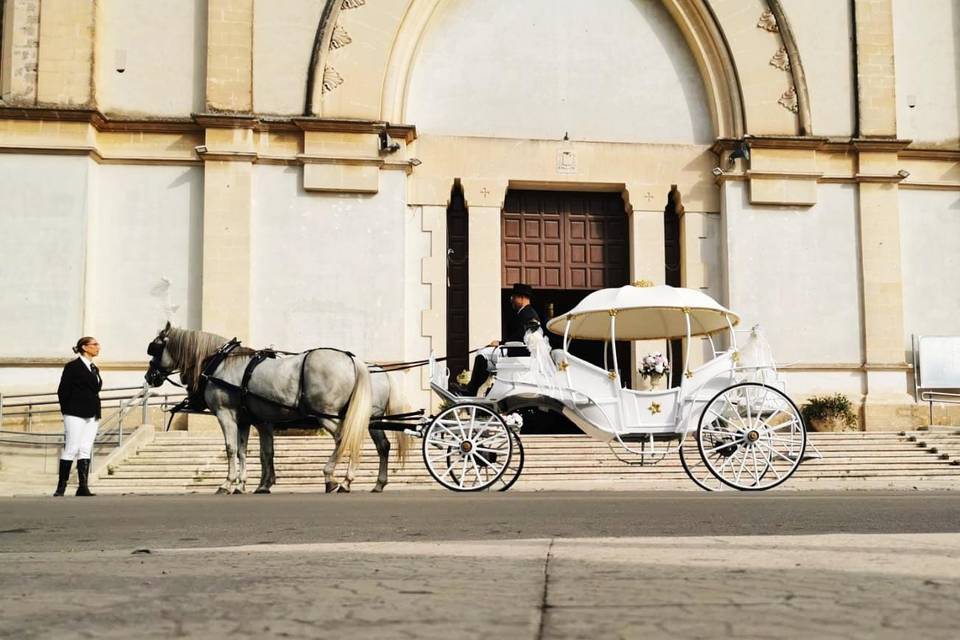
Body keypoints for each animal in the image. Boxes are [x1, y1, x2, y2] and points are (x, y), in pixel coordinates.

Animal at [144, 324, 410, 496]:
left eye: (154, 348)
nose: (149, 377)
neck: (220, 363)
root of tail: (354, 361)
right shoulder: (249, 420)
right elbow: (250, 452)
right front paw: (246, 485)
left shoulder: (225, 414)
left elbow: (231, 449)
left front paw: (228, 484)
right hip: (366, 418)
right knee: (380, 445)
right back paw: (370, 482)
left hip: (328, 415)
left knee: (345, 439)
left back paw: (334, 478)